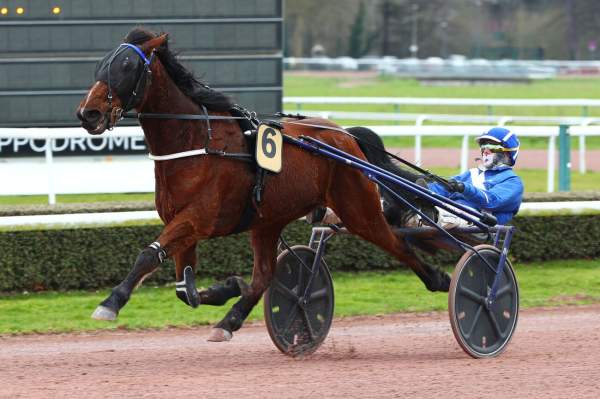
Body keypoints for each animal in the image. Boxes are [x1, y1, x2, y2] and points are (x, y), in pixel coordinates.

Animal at [76, 28, 450, 342]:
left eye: (126, 66)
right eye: (101, 64)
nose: (88, 113)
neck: (196, 141)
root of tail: (346, 136)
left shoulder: (197, 218)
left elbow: (148, 255)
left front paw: (110, 302)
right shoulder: (183, 224)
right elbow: (185, 289)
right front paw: (226, 287)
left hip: (359, 210)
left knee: (398, 243)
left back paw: (442, 279)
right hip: (268, 221)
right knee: (265, 275)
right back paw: (229, 321)